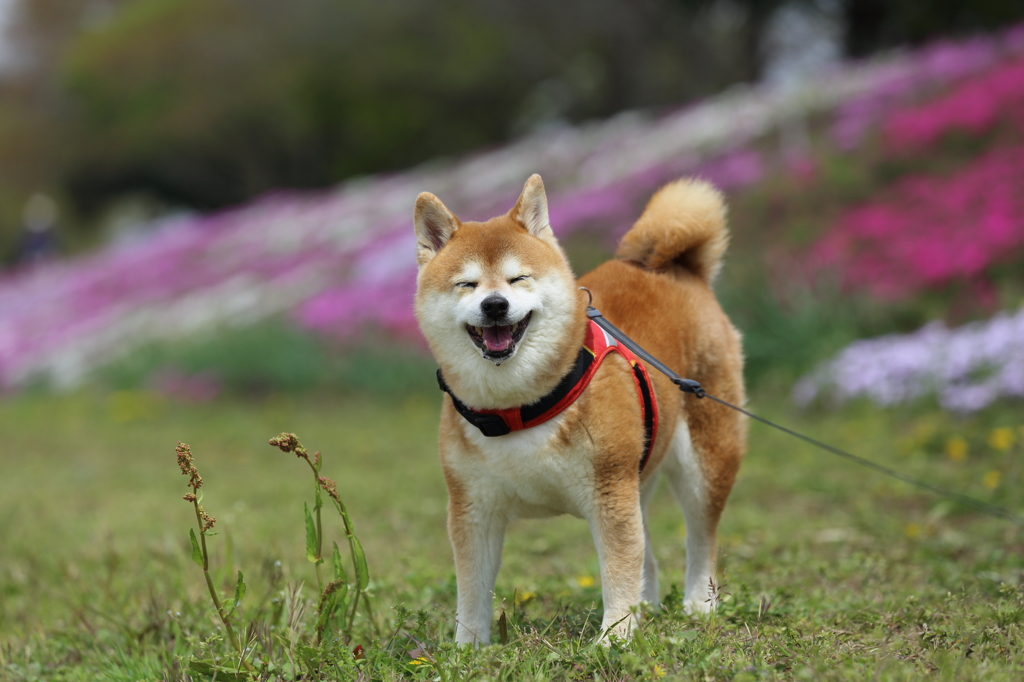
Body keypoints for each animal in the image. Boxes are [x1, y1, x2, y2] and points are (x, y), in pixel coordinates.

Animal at [413, 174, 745, 643]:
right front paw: (468, 648)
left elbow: (618, 571)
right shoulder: (473, 507)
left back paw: (700, 604)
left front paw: (614, 639)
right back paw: (649, 609)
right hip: (639, 471)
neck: (520, 407)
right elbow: (472, 590)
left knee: (701, 538)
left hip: (704, 461)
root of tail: (675, 269)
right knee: (649, 556)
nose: (494, 304)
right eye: (467, 284)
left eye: (518, 278)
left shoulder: (609, 492)